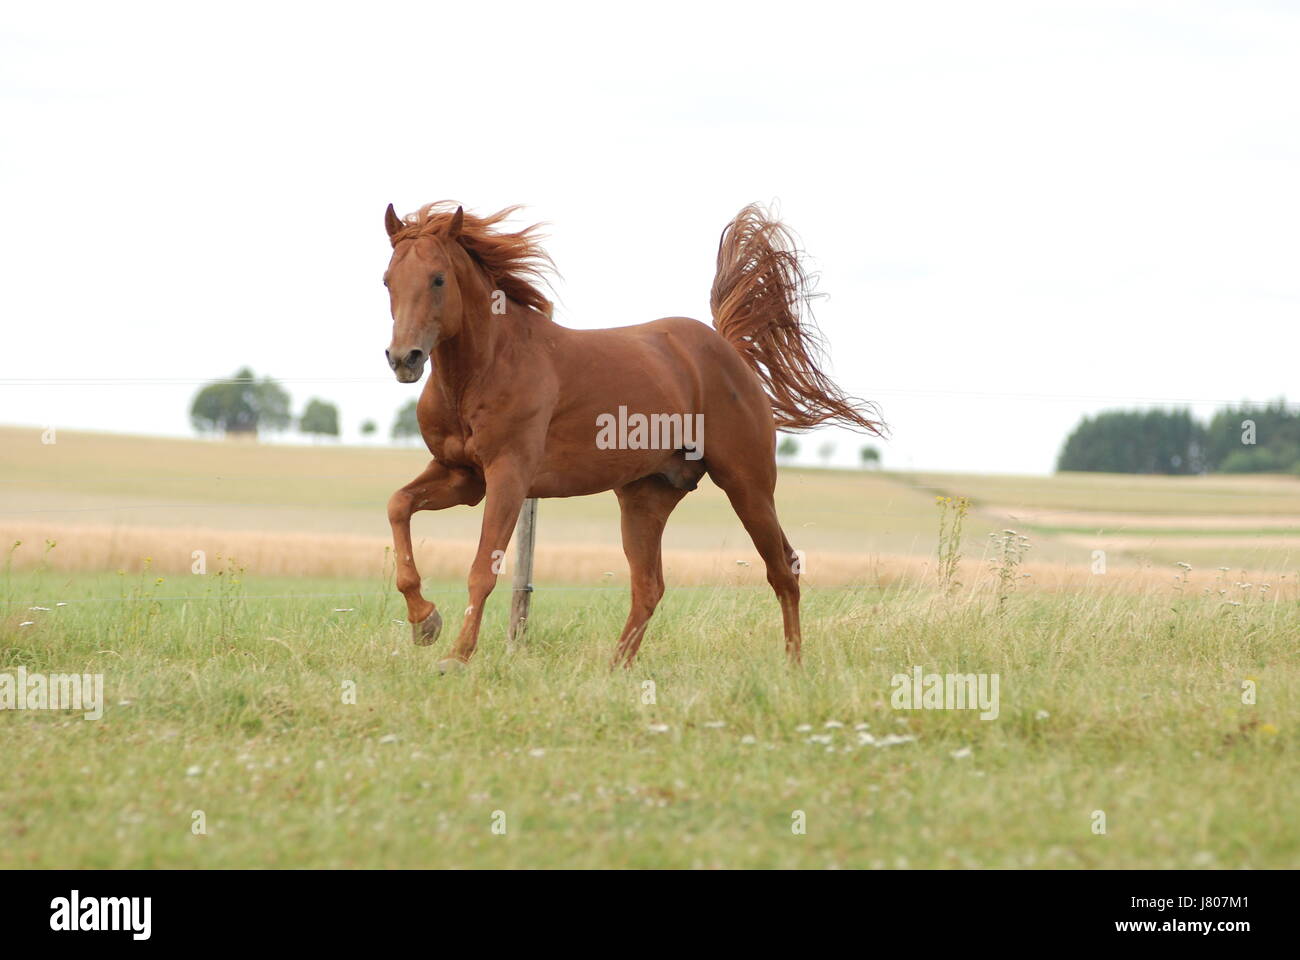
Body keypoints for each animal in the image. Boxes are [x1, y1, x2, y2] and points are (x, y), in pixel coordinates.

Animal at [379, 197, 878, 671]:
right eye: (387, 280)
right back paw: (614, 670)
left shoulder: (508, 477)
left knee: (783, 569)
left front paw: (456, 657)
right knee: (649, 586)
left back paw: (793, 667)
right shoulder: (463, 477)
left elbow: (483, 569)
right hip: (645, 498)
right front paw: (425, 621)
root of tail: (729, 351)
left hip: (748, 486)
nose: (404, 358)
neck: (484, 369)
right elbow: (398, 505)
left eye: (438, 279)